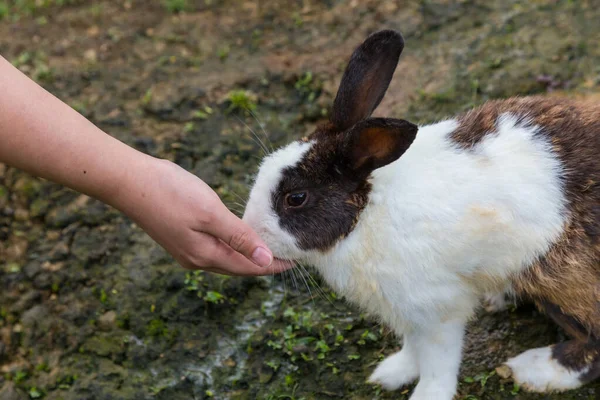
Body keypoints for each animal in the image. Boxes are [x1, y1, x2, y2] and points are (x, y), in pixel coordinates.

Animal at [241, 28, 600, 400]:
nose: (248, 229)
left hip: (559, 278)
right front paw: (392, 372)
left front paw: (427, 393)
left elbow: (437, 362)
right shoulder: (405, 311)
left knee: (593, 342)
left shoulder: (436, 309)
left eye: (296, 198)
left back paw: (534, 370)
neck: (366, 213)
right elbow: (412, 347)